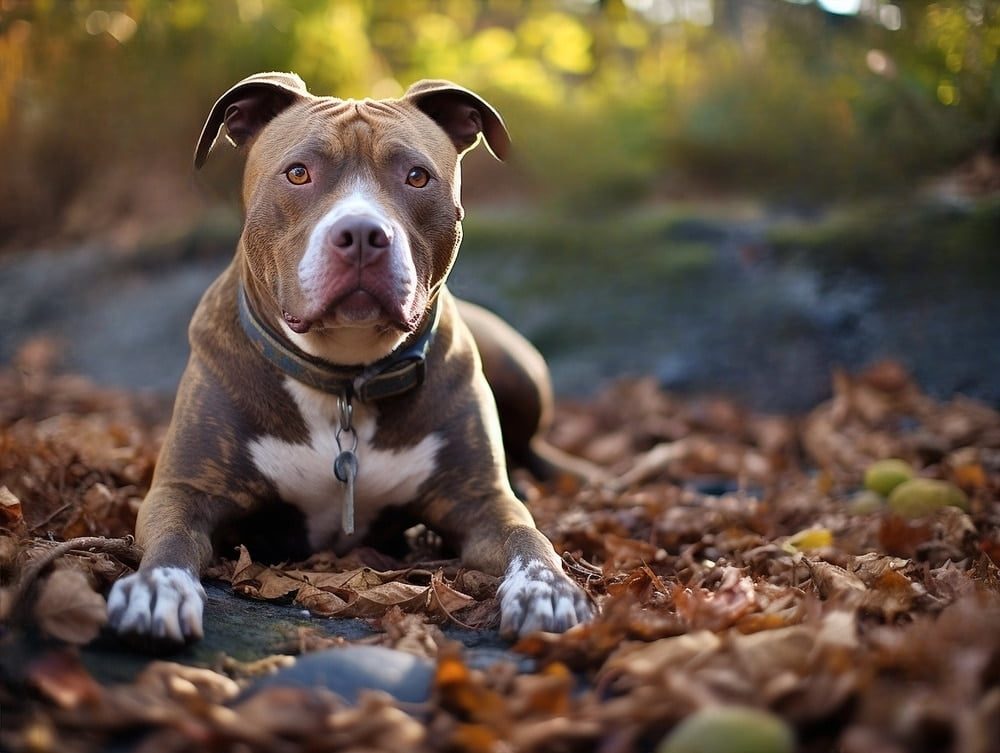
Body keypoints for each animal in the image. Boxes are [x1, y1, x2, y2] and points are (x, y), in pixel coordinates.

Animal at [109, 73, 592, 644]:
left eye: (417, 177)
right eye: (298, 173)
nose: (362, 233)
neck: (343, 376)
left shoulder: (483, 502)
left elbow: (528, 539)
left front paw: (546, 589)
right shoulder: (184, 489)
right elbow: (172, 540)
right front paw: (156, 588)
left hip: (518, 369)